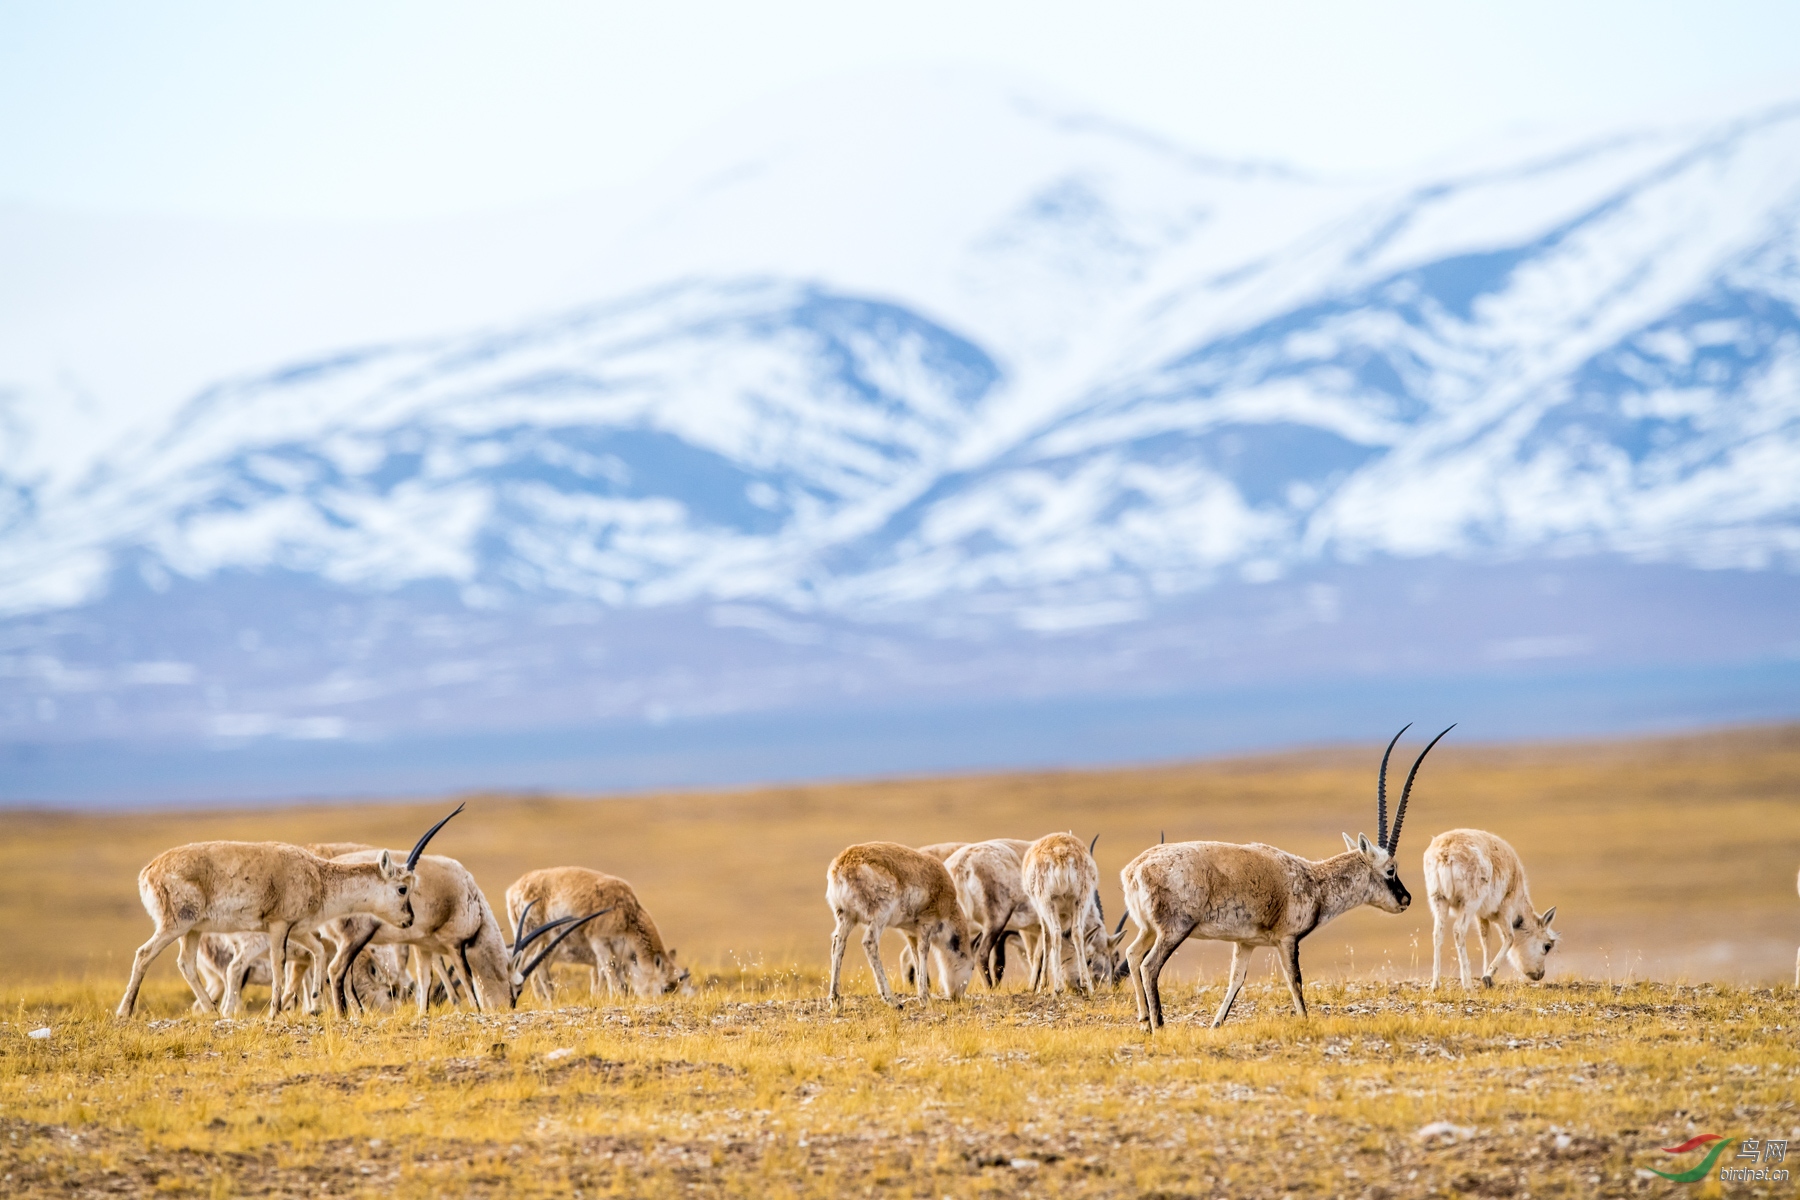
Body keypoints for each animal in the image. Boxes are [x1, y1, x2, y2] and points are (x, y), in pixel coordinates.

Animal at [114, 805, 464, 1021]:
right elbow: (279, 965)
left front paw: (313, 1006)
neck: (318, 875)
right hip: (176, 924)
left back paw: (213, 1012)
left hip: (194, 930)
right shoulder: (279, 927)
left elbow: (319, 954)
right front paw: (276, 1012)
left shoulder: (301, 929)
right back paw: (124, 1013)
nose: (409, 920)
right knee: (144, 954)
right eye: (403, 888)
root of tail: (148, 871)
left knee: (185, 964)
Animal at [504, 867, 691, 1000]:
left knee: (539, 969)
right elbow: (609, 972)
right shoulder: (600, 944)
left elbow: (609, 977)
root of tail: (514, 888)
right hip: (530, 938)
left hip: (546, 942)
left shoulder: (616, 953)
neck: (627, 911)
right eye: (666, 988)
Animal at [824, 841, 979, 1007]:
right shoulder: (926, 926)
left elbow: (915, 956)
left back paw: (834, 998)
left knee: (838, 943)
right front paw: (924, 997)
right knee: (869, 942)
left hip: (847, 918)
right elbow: (923, 952)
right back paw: (892, 1000)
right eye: (972, 967)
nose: (957, 997)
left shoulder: (910, 934)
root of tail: (842, 863)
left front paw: (924, 995)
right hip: (879, 917)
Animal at [1123, 723, 1447, 1036]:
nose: (1406, 899)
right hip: (1174, 930)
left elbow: (1236, 980)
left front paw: (1216, 1024)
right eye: (1391, 869)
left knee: (1132, 954)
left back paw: (1143, 1020)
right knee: (1149, 965)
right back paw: (1158, 1025)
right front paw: (1305, 1020)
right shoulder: (1288, 939)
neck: (1315, 881)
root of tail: (1136, 869)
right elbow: (1295, 979)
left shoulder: (1246, 943)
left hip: (1149, 929)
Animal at [1425, 831, 1555, 993]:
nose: (1540, 974)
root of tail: (1446, 850)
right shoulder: (1506, 910)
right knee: (1458, 930)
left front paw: (1487, 977)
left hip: (1439, 900)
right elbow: (1509, 937)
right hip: (1469, 902)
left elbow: (1486, 939)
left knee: (1438, 933)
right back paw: (1468, 986)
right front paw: (1487, 977)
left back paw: (1435, 985)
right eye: (1547, 946)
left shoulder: (1481, 916)